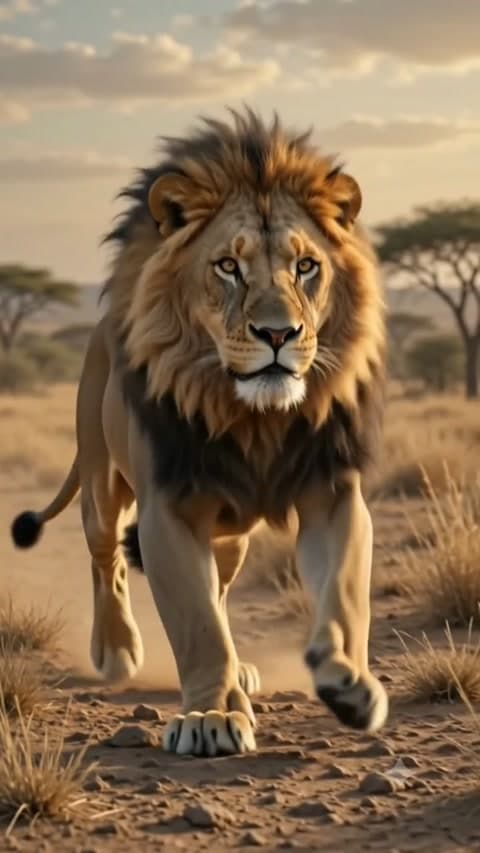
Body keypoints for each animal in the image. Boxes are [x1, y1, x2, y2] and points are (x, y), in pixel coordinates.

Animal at [11, 108, 387, 757]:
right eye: (228, 267)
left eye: (306, 266)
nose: (278, 334)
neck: (256, 420)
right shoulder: (170, 508)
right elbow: (197, 622)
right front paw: (211, 716)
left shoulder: (331, 492)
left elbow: (341, 593)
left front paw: (347, 681)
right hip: (101, 483)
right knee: (106, 556)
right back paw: (117, 650)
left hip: (232, 534)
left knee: (223, 583)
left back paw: (245, 673)